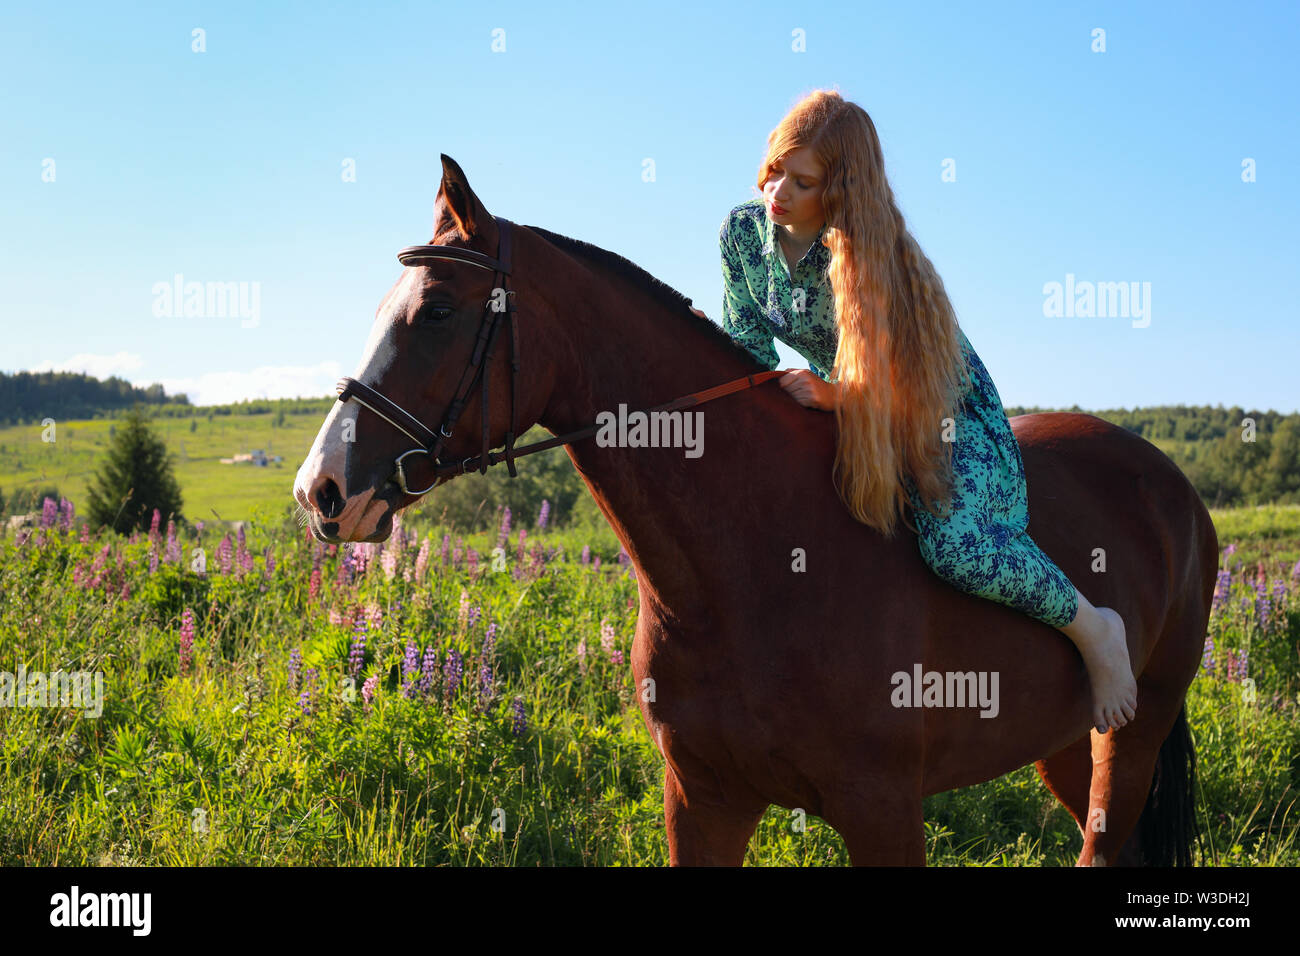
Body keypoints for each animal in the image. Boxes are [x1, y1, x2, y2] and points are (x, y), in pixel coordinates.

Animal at [294, 155, 1217, 866]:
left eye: (437, 310)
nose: (322, 491)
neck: (746, 566)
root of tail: (1169, 484)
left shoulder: (883, 810)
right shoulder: (703, 800)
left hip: (1132, 736)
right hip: (1065, 742)